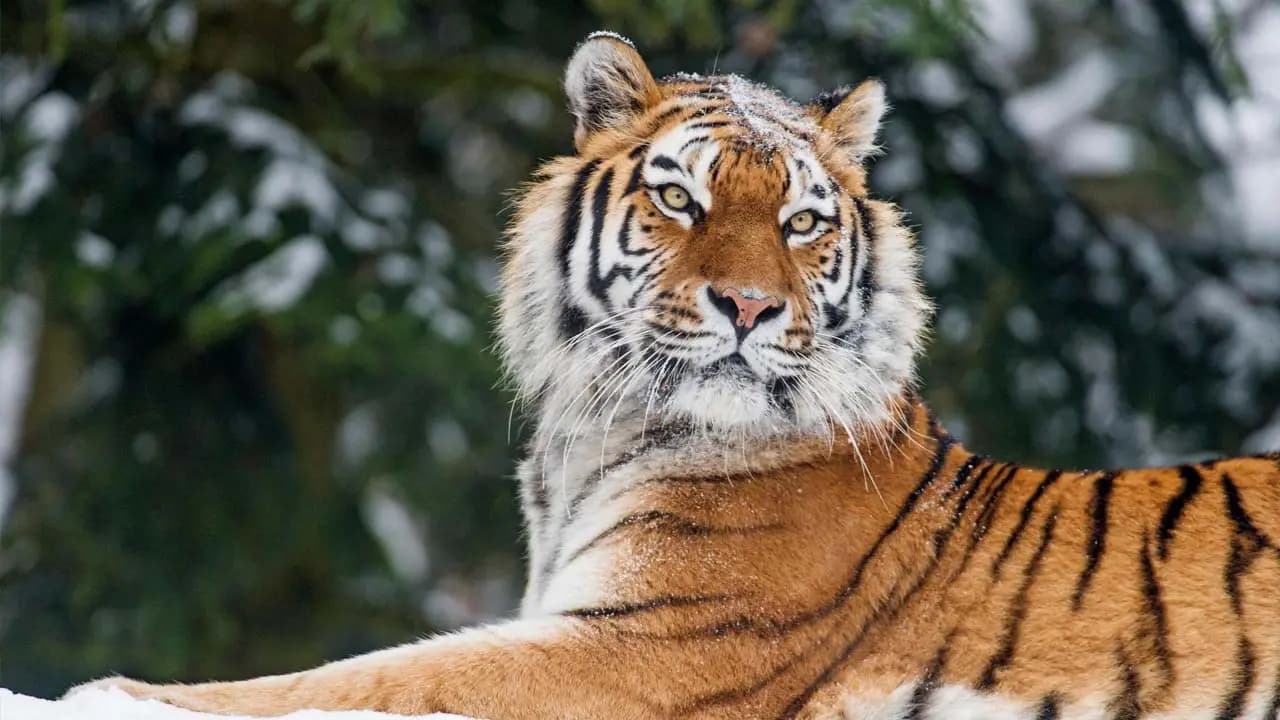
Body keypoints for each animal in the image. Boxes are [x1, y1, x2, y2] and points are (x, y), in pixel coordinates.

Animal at [76, 32, 1280, 720]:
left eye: (800, 223)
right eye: (680, 198)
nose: (748, 308)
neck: (592, 436)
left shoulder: (641, 648)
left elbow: (368, 677)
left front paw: (111, 690)